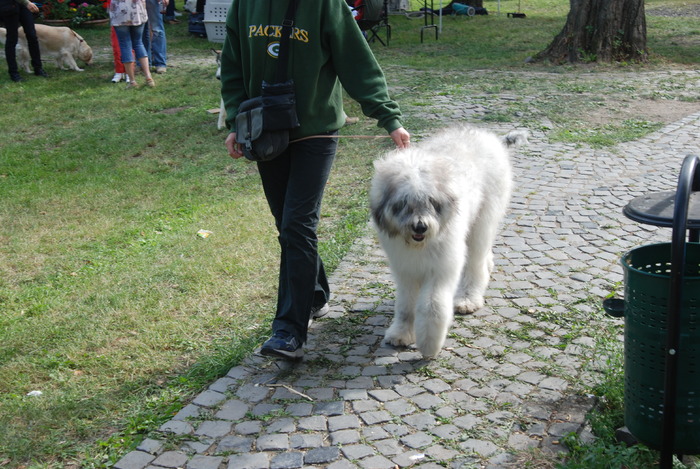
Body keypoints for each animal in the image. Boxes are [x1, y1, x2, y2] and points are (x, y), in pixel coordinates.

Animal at [372, 124, 524, 358]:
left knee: (475, 265)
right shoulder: (405, 269)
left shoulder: (440, 268)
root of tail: (491, 139)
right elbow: (405, 305)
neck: (420, 245)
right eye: (404, 202)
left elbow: (432, 306)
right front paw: (401, 333)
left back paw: (468, 299)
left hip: (482, 223)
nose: (420, 227)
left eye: (430, 200)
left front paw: (429, 344)